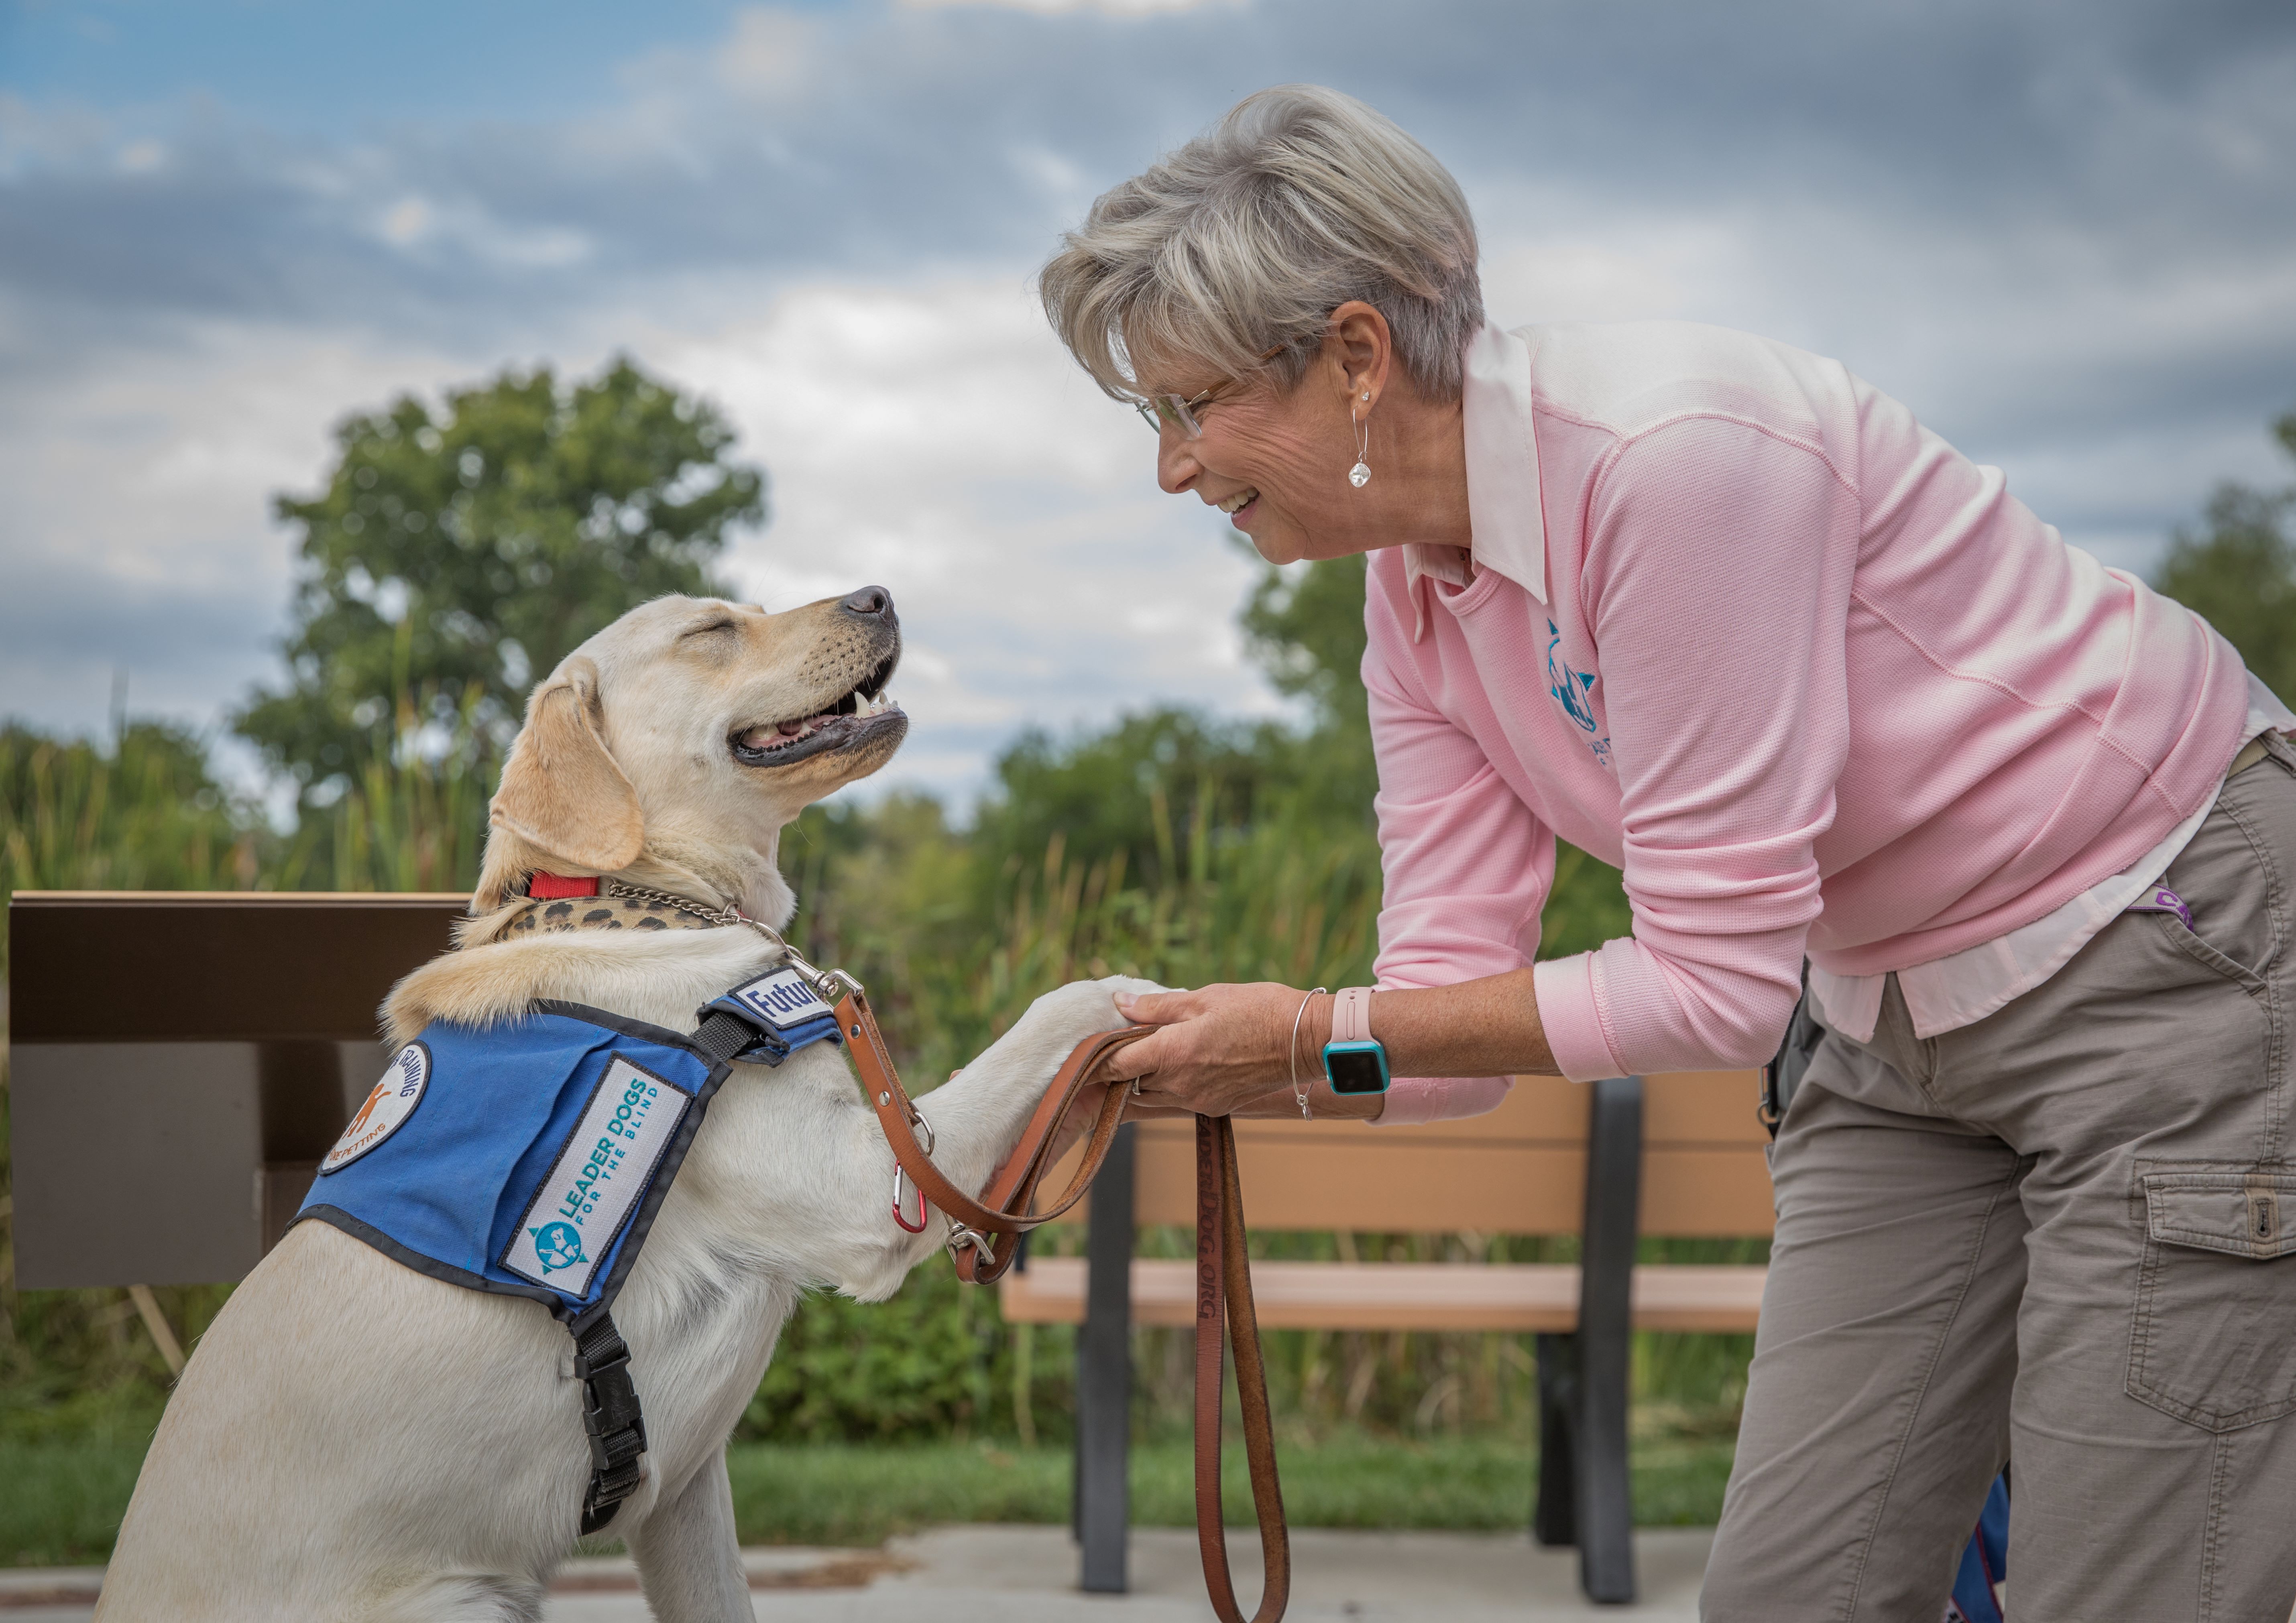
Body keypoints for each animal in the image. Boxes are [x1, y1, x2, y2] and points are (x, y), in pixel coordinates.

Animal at [103, 592, 1148, 1616]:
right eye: (713, 629)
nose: (880, 595)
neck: (642, 902)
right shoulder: (872, 1187)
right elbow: (1053, 1014)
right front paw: (1145, 996)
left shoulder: (685, 1492)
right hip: (458, 1599)